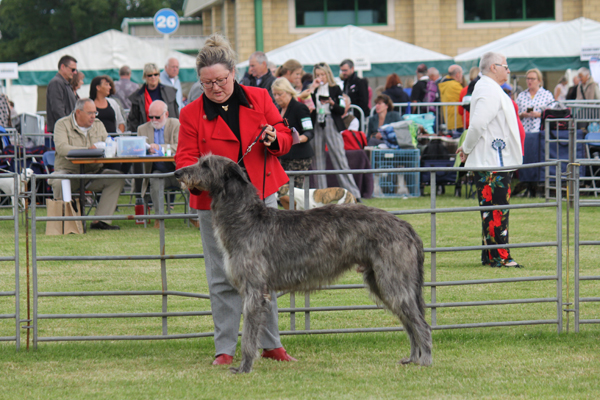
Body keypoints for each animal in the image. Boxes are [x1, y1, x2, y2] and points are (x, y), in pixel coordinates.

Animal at [173, 155, 432, 374]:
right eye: (199, 160)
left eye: (206, 165)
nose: (177, 172)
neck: (246, 218)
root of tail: (406, 226)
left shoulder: (254, 290)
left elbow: (248, 336)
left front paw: (244, 368)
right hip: (383, 282)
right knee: (410, 323)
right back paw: (413, 359)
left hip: (393, 280)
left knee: (421, 325)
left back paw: (426, 361)